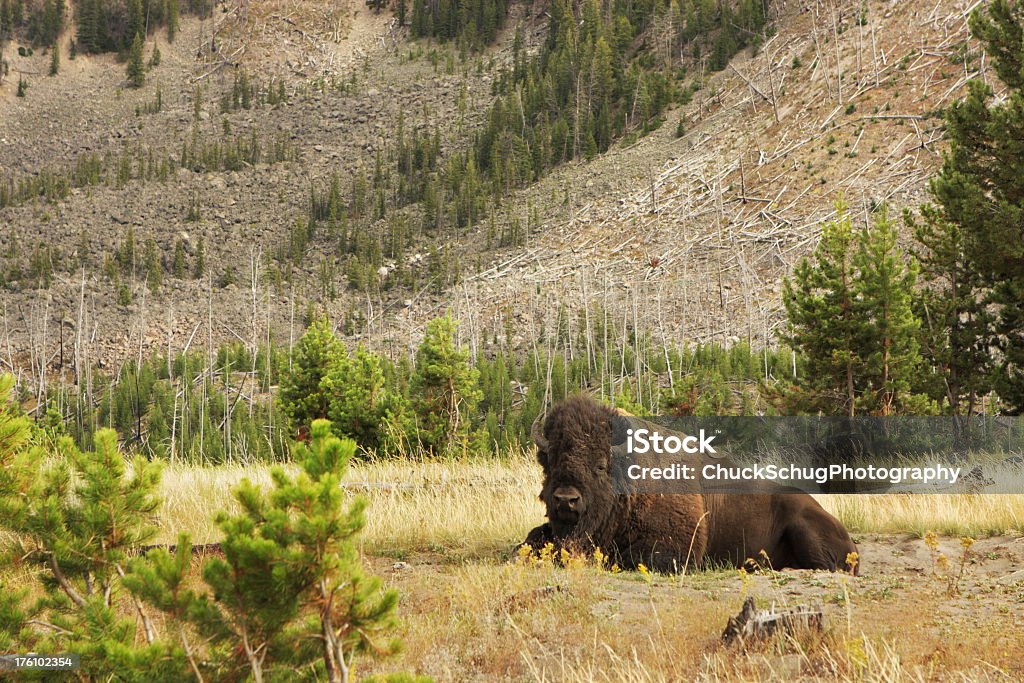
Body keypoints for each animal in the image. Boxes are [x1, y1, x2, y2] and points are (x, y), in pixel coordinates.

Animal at [524, 395, 860, 577]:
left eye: (600, 465)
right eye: (549, 462)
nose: (566, 499)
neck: (629, 476)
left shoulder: (673, 551)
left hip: (805, 529)